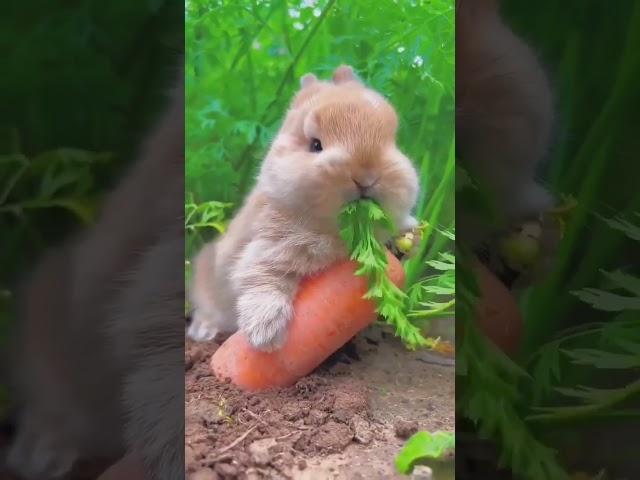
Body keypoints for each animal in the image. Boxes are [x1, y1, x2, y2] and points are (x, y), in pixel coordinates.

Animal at [186, 64, 420, 348]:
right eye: (315, 145)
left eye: (392, 141)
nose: (366, 177)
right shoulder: (267, 250)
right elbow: (263, 280)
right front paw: (265, 334)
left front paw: (410, 238)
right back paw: (204, 332)